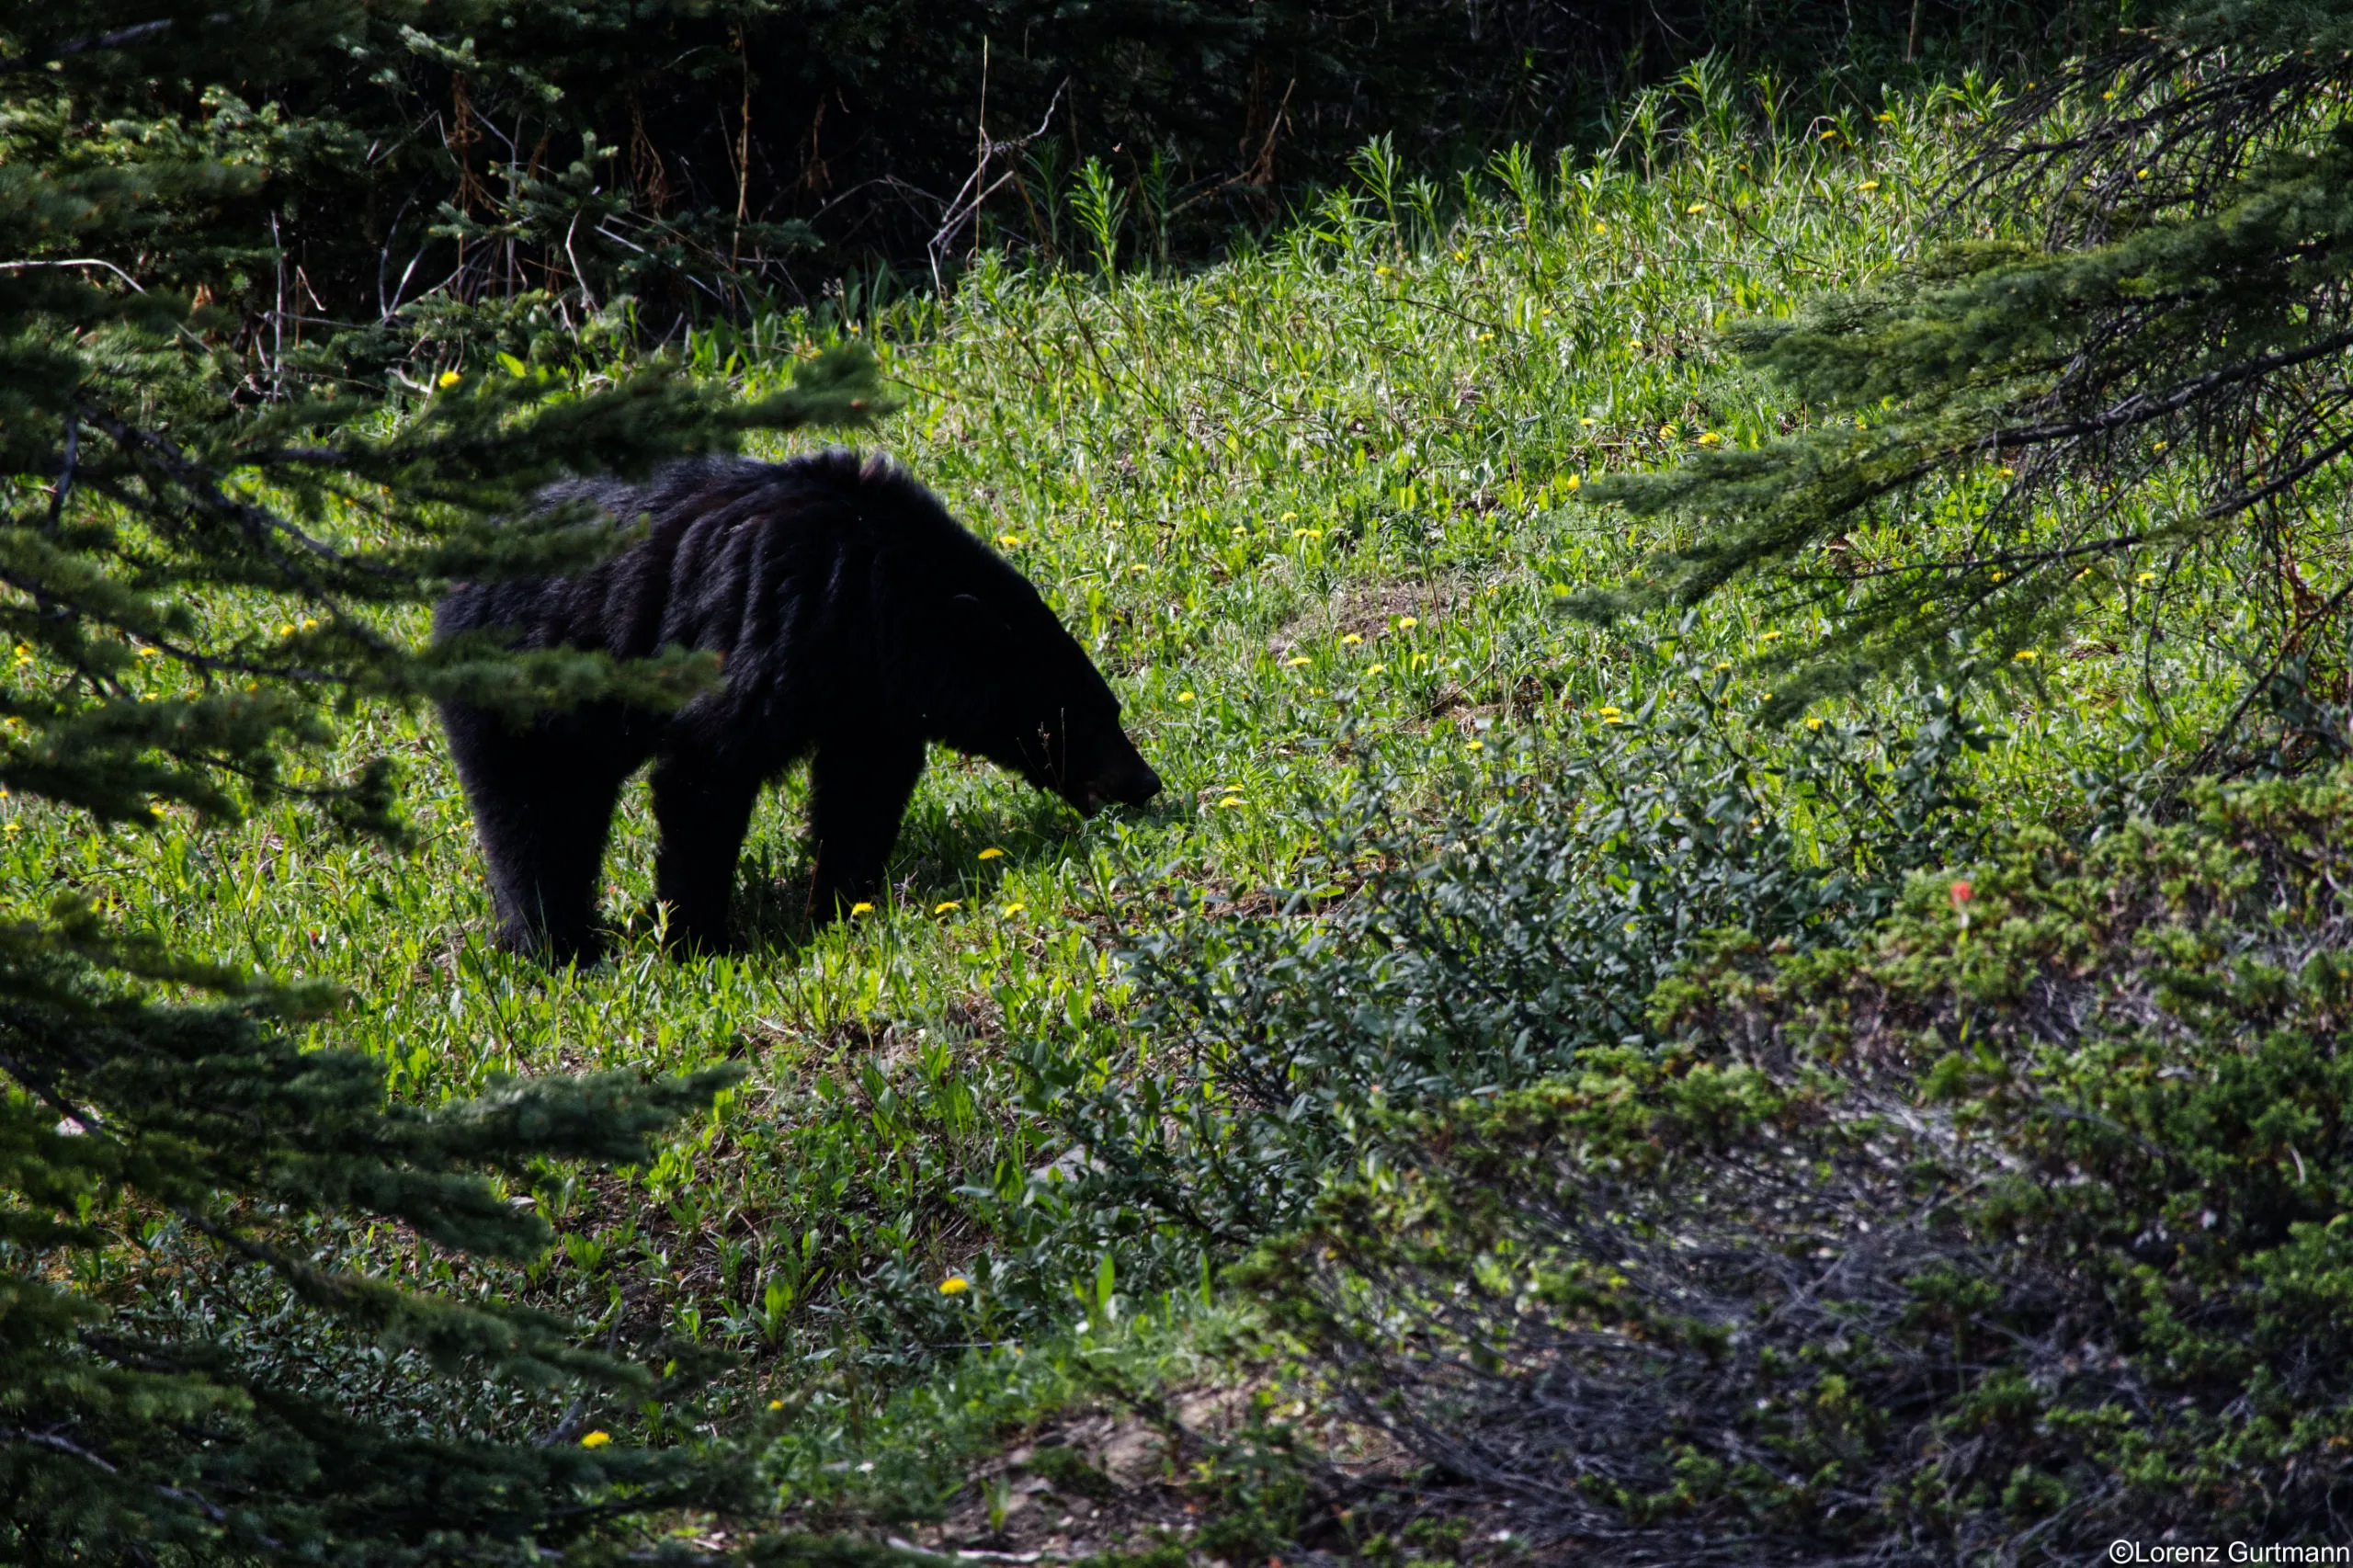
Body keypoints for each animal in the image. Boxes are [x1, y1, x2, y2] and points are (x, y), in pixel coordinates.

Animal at [435, 445, 1166, 960]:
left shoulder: (869, 689)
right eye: (1081, 718)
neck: (882, 590)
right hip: (525, 682)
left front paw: (843, 902)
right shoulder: (779, 617)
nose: (1145, 784)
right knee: (534, 814)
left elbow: (862, 784)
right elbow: (707, 766)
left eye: (1112, 711)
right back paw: (556, 946)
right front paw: (698, 937)